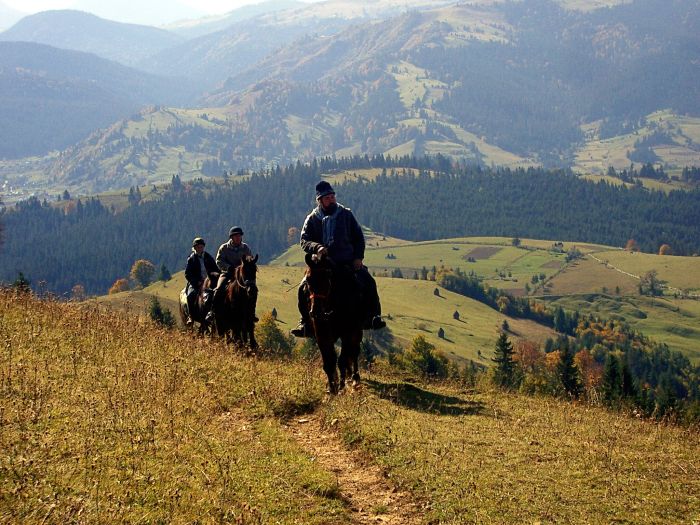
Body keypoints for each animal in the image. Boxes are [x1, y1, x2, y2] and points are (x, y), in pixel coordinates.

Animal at [304, 253, 364, 392]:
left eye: (327, 278)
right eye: (308, 280)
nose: (316, 312)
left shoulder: (348, 332)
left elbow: (342, 360)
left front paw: (341, 386)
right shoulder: (322, 334)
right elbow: (329, 360)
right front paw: (331, 387)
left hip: (357, 331)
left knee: (354, 352)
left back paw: (355, 378)